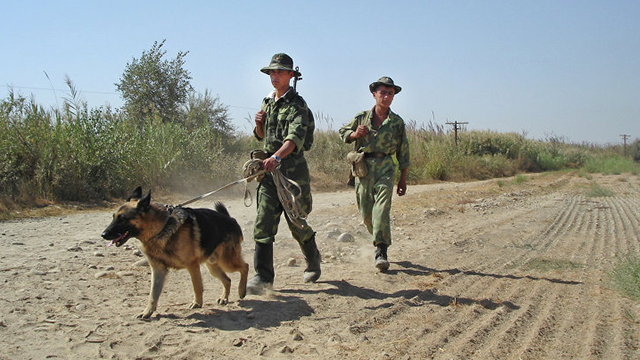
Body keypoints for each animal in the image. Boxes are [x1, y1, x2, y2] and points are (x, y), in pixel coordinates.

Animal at [101, 187, 249, 320]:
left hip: (227, 262)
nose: (103, 234)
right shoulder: (158, 270)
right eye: (113, 217)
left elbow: (197, 286)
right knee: (228, 280)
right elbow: (153, 295)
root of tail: (230, 219)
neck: (161, 228)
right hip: (213, 266)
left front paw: (197, 303)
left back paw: (242, 290)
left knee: (245, 267)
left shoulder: (192, 266)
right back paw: (224, 298)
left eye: (122, 218)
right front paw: (147, 312)